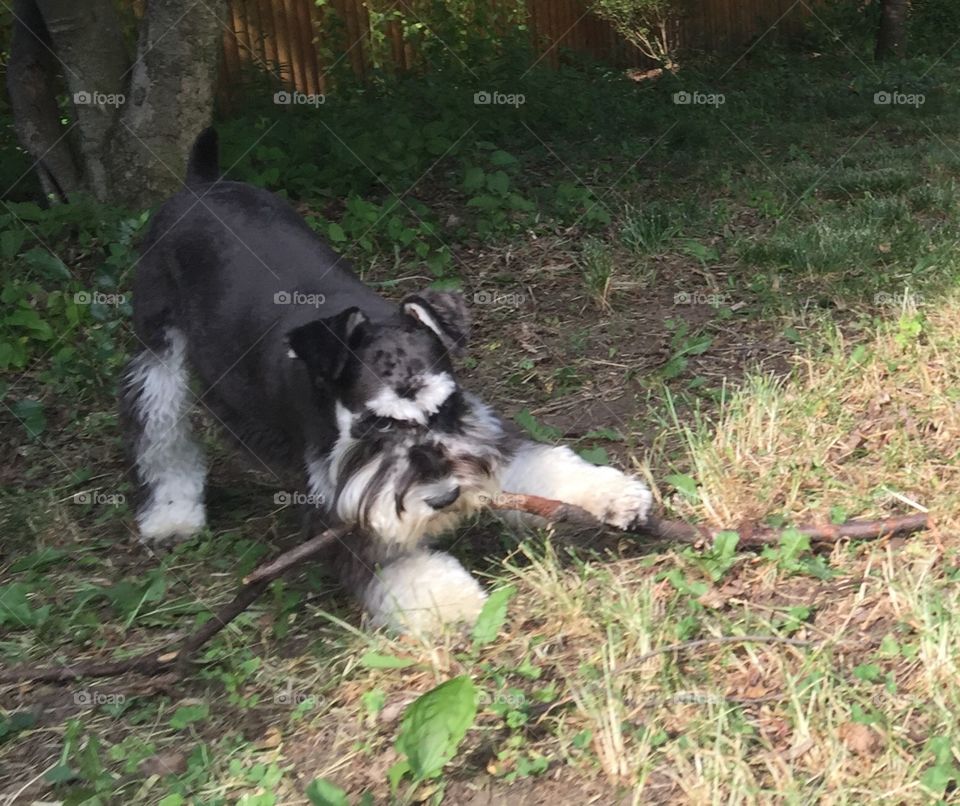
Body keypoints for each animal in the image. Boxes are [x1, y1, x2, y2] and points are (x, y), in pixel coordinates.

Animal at [122, 129, 652, 636]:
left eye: (445, 409)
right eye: (376, 425)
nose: (443, 497)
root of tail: (201, 184)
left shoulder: (483, 432)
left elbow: (540, 463)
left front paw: (612, 495)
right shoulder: (339, 505)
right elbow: (391, 565)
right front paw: (453, 603)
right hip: (157, 352)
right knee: (158, 428)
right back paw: (172, 514)